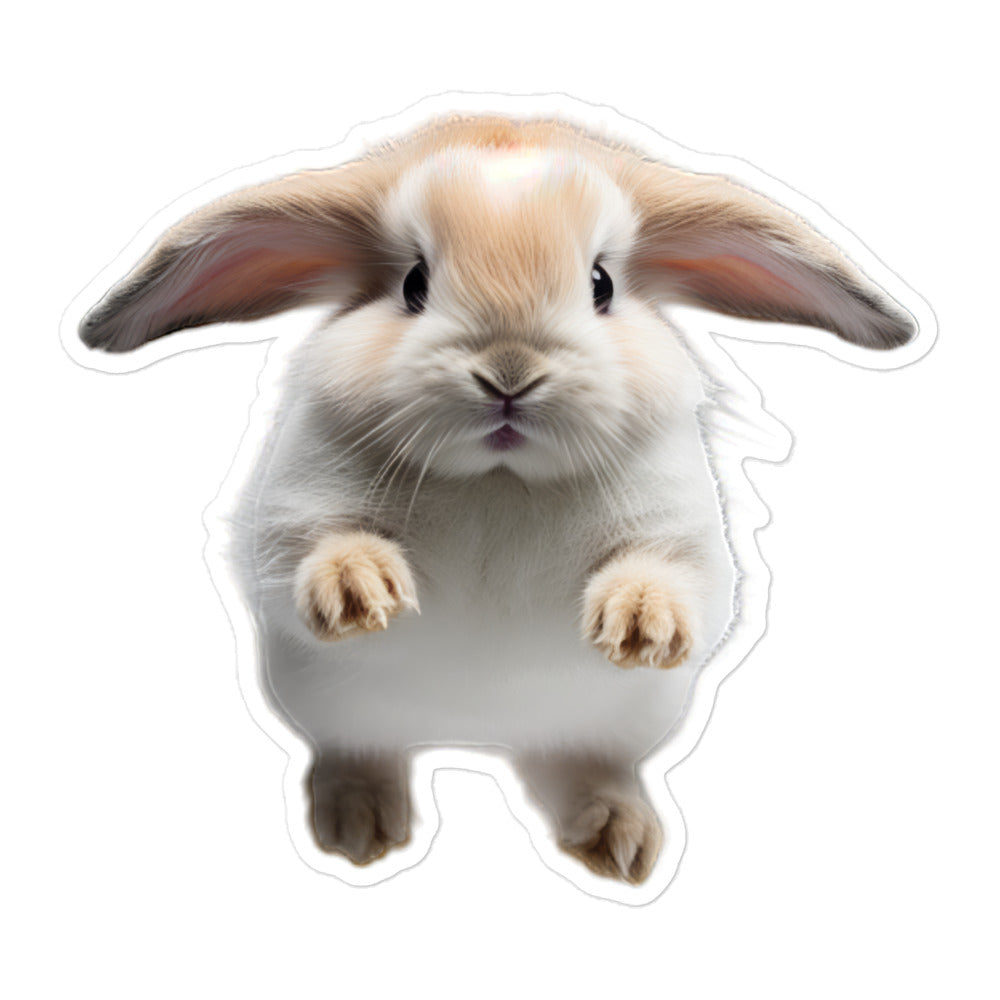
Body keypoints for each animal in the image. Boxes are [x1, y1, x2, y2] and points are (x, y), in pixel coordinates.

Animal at [78, 113, 915, 885]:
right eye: (414, 284)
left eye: (601, 285)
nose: (509, 372)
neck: (498, 482)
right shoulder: (290, 516)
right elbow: (316, 551)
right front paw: (360, 592)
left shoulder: (683, 534)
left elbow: (673, 576)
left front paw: (641, 627)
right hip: (337, 712)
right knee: (359, 750)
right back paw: (359, 824)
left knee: (583, 767)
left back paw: (617, 839)